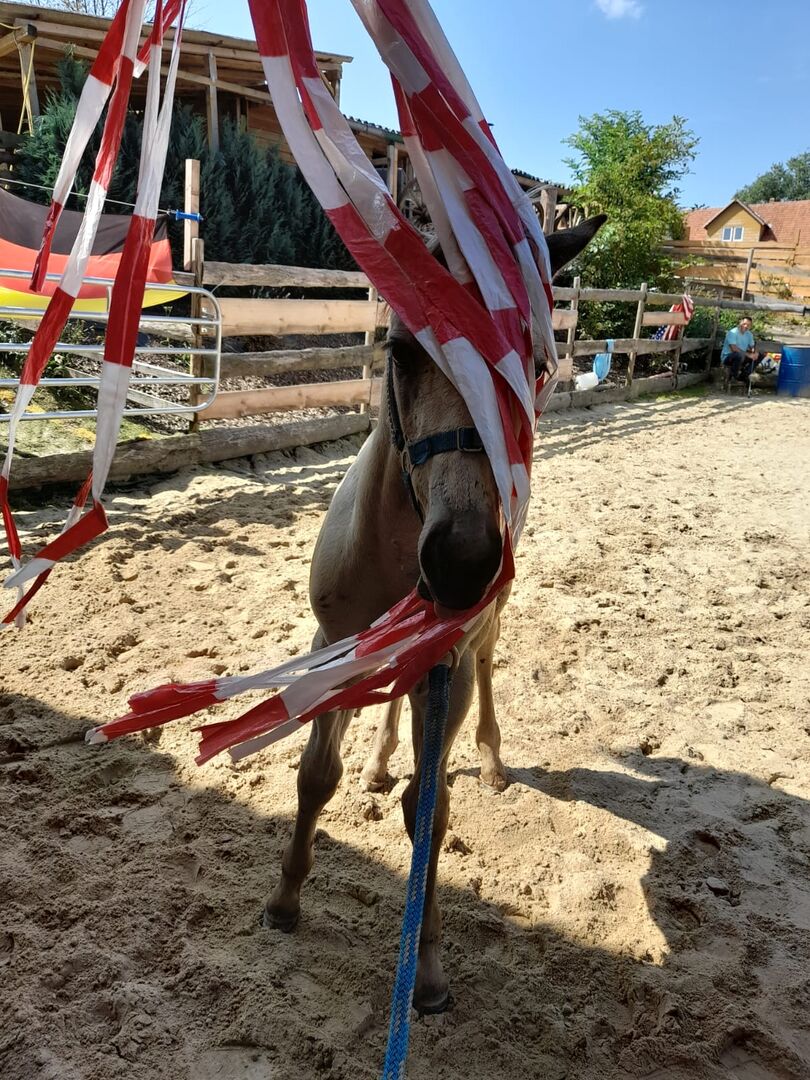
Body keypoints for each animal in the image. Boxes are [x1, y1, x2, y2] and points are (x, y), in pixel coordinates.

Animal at [264, 215, 606, 1014]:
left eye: (531, 366)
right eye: (401, 350)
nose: (460, 561)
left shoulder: (446, 664)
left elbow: (430, 806)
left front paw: (427, 965)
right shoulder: (334, 643)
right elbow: (314, 774)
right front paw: (286, 899)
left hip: (484, 630)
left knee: (487, 667)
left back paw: (491, 762)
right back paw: (378, 762)